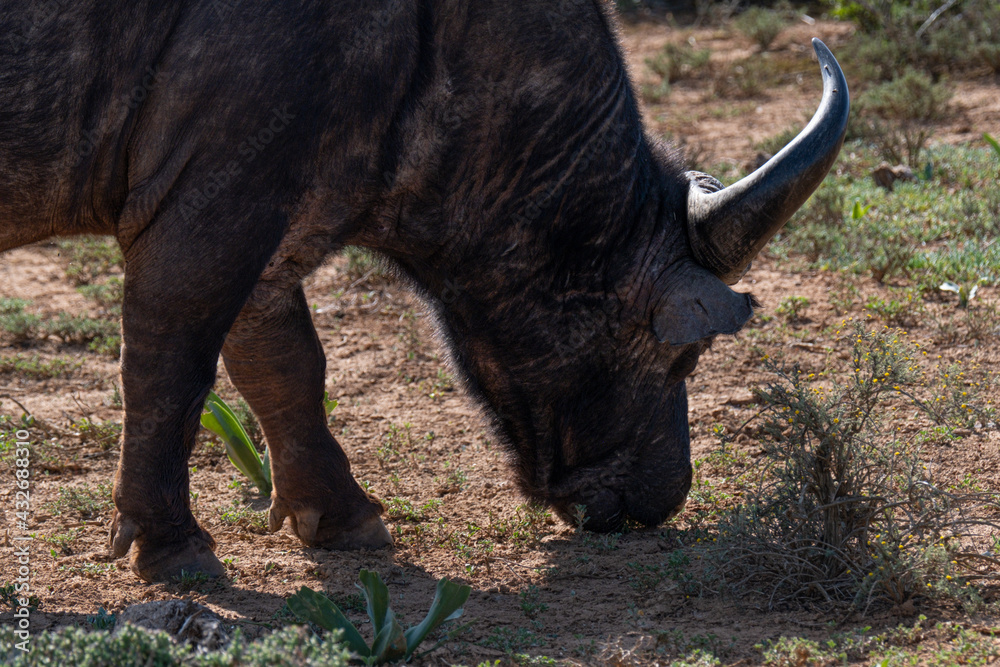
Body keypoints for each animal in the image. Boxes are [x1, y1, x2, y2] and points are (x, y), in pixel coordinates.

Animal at [0, 1, 848, 581]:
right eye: (687, 357)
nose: (664, 496)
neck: (438, 39)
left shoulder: (264, 223)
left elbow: (285, 365)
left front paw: (338, 514)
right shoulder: (210, 207)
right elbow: (170, 370)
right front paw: (171, 545)